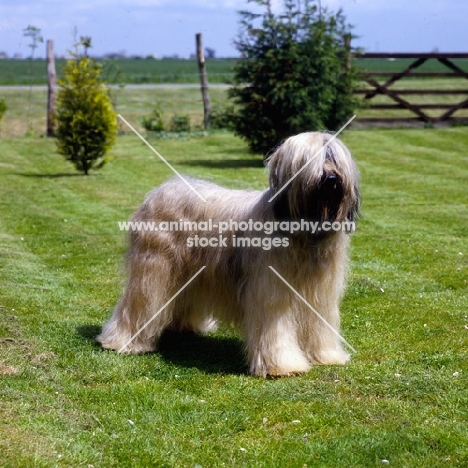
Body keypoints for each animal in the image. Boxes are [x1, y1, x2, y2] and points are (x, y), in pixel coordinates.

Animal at [97, 132, 360, 376]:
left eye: (334, 158)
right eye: (312, 159)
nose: (331, 179)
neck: (304, 234)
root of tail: (161, 190)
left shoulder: (320, 295)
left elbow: (319, 325)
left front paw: (326, 355)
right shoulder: (271, 290)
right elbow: (276, 329)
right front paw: (283, 365)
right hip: (153, 270)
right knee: (139, 303)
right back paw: (123, 341)